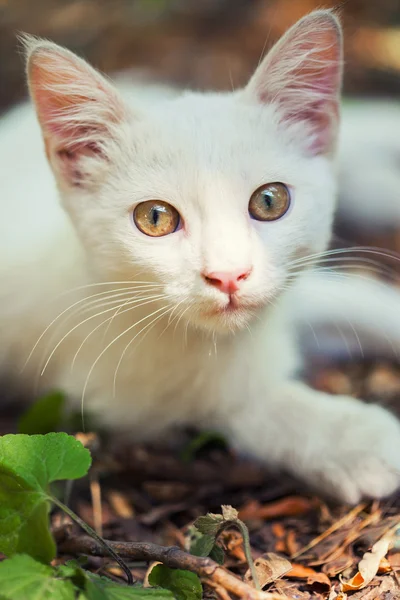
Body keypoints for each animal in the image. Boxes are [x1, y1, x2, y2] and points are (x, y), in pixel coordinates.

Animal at [0, 11, 400, 504]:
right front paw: (354, 438)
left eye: (270, 201)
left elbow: (363, 300)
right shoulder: (114, 391)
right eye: (155, 218)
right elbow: (242, 403)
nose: (228, 275)